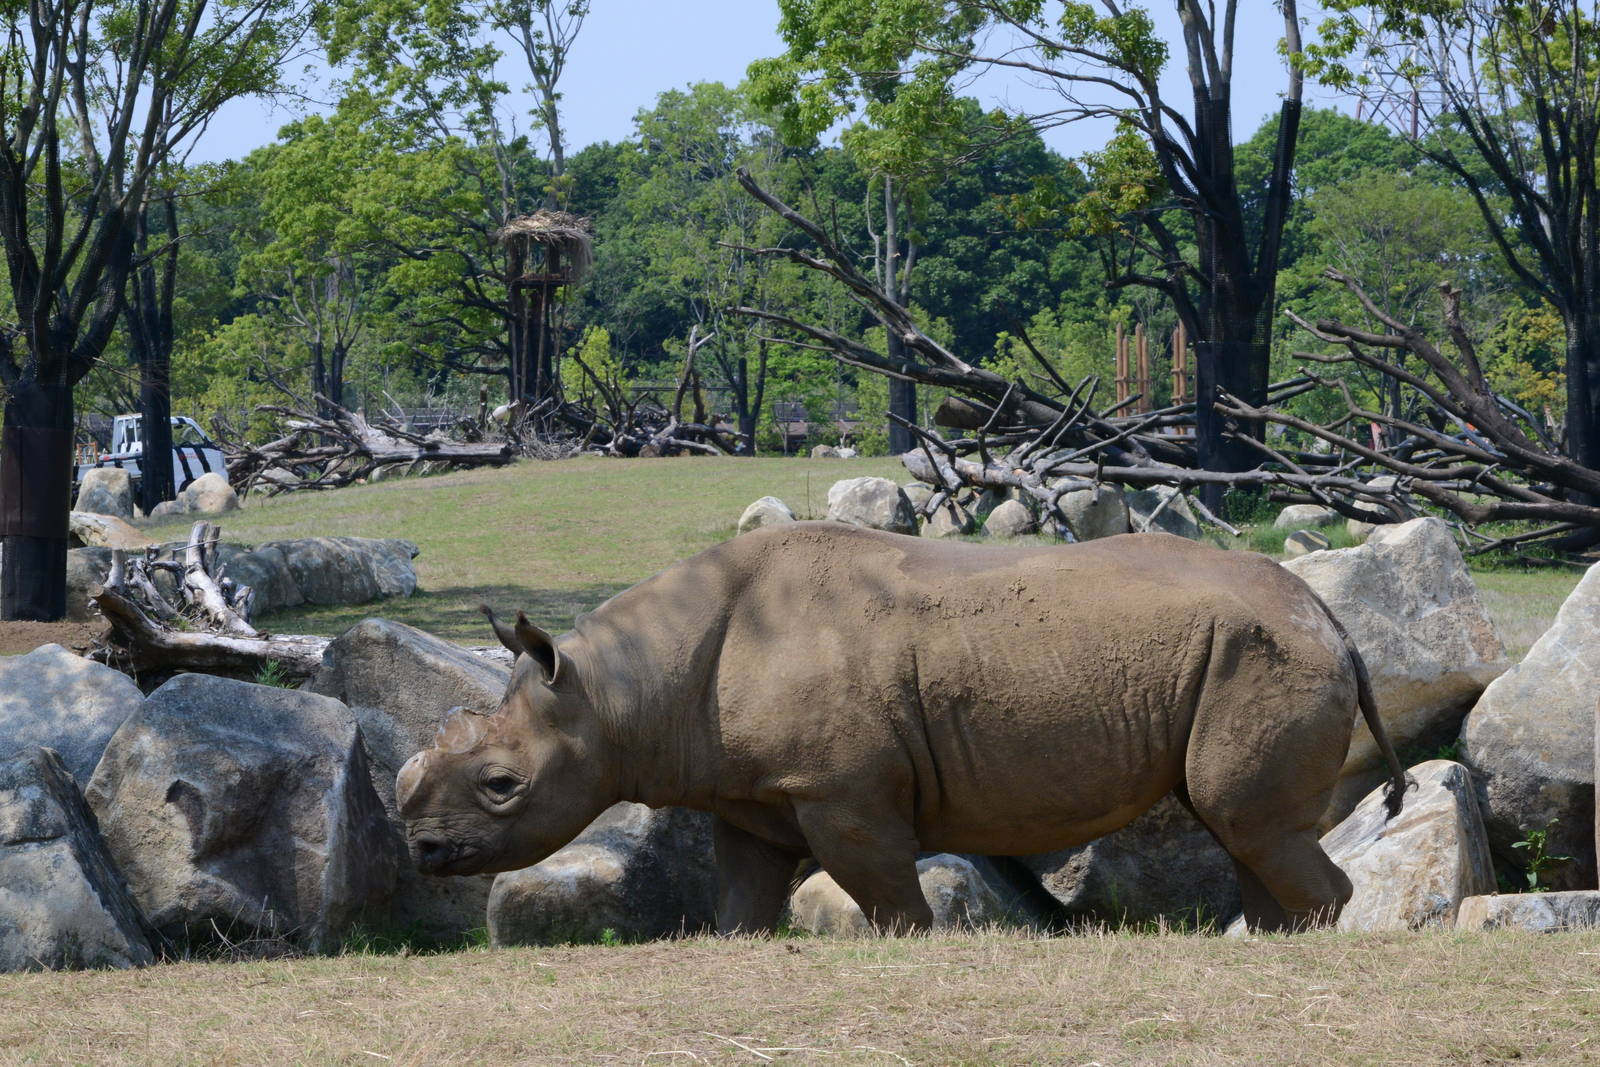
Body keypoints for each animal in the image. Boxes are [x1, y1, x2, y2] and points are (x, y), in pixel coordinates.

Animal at [397, 522, 1408, 933]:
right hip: (1254, 650)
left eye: (502, 786)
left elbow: (888, 898)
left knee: (1248, 820)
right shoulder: (752, 796)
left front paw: (914, 944)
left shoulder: (840, 787)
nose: (423, 853)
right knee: (1241, 823)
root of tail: (1334, 618)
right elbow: (739, 904)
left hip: (1266, 652)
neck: (619, 691)